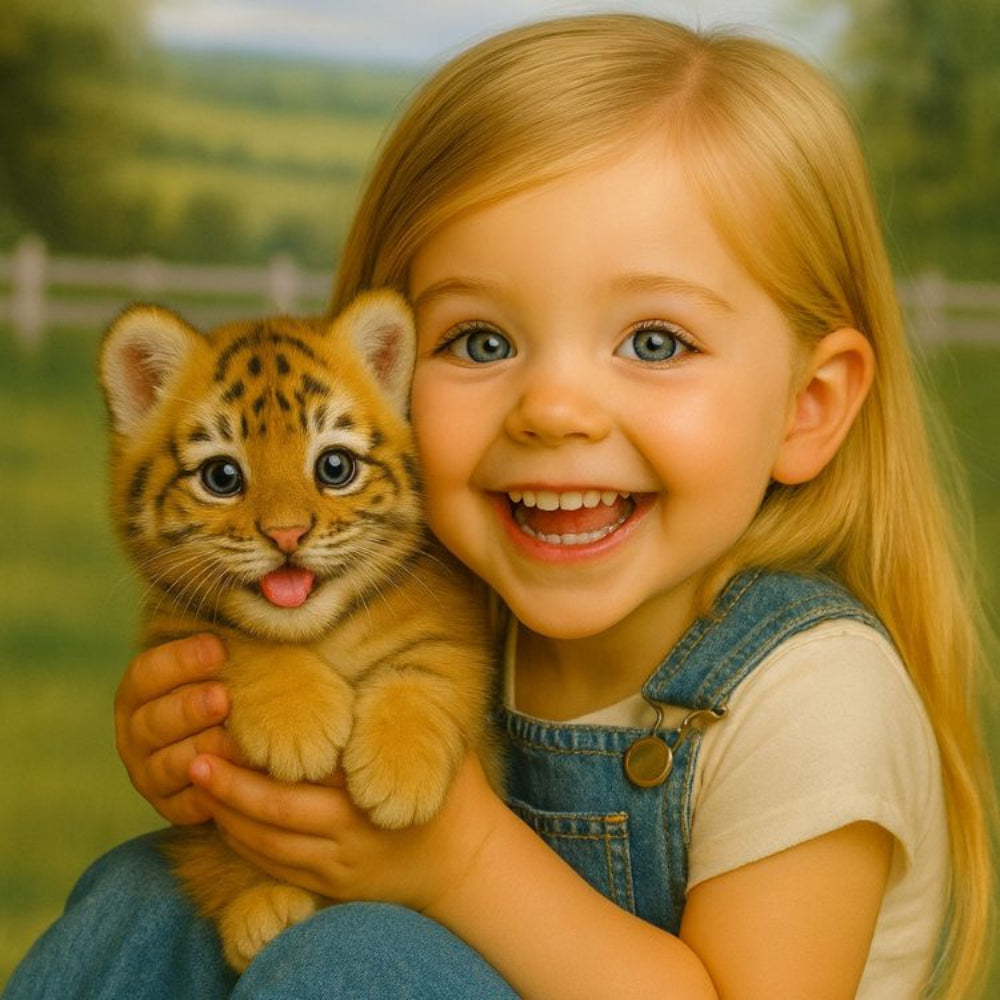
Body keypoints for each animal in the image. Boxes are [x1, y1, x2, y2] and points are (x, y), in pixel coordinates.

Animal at [99, 290, 497, 972]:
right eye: (222, 477)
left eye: (334, 466)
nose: (286, 535)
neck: (318, 631)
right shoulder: (177, 629)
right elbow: (243, 641)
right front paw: (297, 726)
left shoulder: (454, 631)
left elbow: (424, 673)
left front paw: (399, 779)